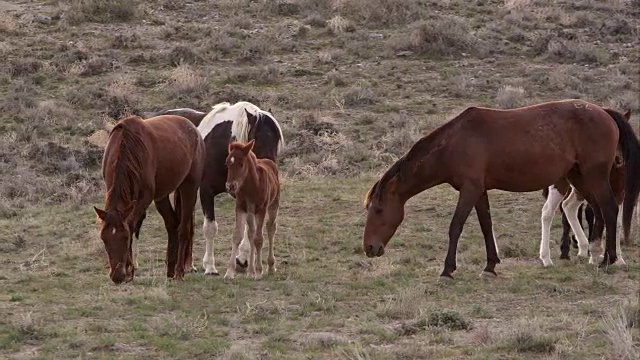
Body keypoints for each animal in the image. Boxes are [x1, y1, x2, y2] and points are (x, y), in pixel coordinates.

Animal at [94, 115, 205, 284]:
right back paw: (170, 270)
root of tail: (193, 129)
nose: (117, 276)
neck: (126, 145)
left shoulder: (144, 199)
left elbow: (131, 224)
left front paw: (130, 270)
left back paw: (179, 272)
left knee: (184, 228)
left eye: (126, 237)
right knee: (172, 225)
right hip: (162, 197)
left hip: (189, 187)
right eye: (104, 239)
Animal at [225, 139, 280, 280]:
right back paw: (250, 271)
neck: (251, 186)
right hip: (250, 213)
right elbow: (237, 236)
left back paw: (270, 266)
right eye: (227, 163)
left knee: (270, 228)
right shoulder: (240, 208)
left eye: (241, 164)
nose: (230, 186)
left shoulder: (261, 210)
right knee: (251, 233)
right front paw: (229, 272)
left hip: (273, 204)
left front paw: (259, 271)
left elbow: (259, 239)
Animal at [362, 100, 640, 280]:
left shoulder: (469, 189)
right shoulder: (479, 190)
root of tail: (604, 112)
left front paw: (448, 270)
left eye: (378, 209)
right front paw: (490, 266)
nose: (369, 248)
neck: (455, 143)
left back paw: (608, 259)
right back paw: (595, 253)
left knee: (609, 209)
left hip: (593, 176)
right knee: (595, 211)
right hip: (578, 177)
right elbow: (486, 225)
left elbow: (456, 226)